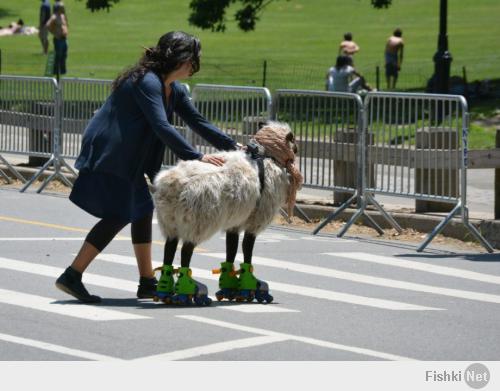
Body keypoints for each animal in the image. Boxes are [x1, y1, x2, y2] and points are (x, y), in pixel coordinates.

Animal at [152, 122, 300, 306]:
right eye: (293, 143)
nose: (297, 151)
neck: (267, 156)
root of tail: (173, 183)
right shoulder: (255, 218)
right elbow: (247, 248)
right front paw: (252, 287)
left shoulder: (235, 220)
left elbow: (232, 248)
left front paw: (230, 288)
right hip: (197, 220)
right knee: (186, 250)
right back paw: (188, 292)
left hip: (169, 220)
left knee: (170, 248)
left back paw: (164, 291)